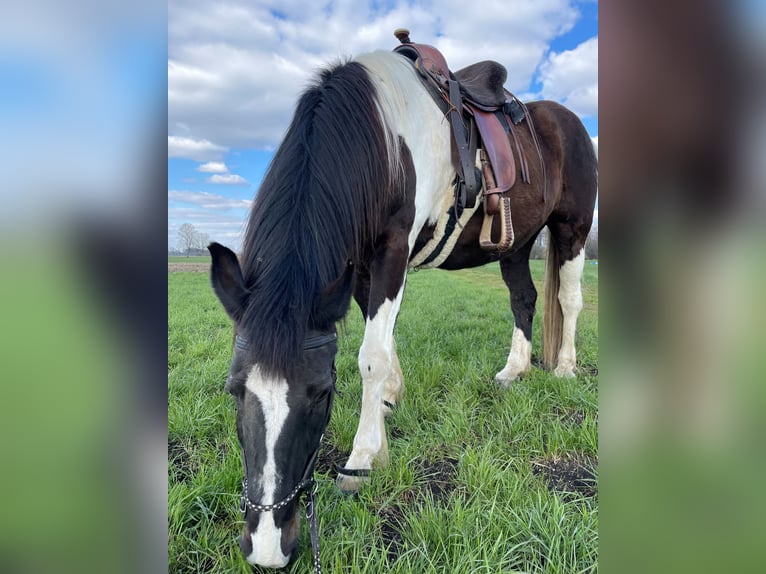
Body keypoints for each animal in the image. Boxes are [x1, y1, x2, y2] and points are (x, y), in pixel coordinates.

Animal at [208, 49, 600, 572]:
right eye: (234, 390)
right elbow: (382, 342)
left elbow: (370, 355)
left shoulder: (392, 249)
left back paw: (564, 368)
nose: (268, 549)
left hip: (573, 226)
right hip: (515, 242)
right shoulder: (356, 267)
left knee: (568, 299)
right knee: (525, 298)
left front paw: (362, 458)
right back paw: (514, 370)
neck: (381, 135)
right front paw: (389, 401)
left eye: (322, 394)